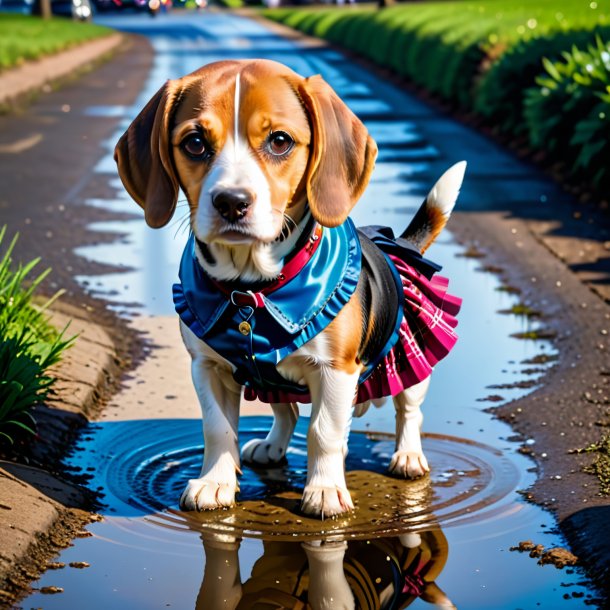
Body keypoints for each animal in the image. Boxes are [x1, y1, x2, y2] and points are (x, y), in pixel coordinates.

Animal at [115, 57, 466, 516]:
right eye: (194, 143)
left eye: (280, 141)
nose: (231, 202)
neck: (249, 287)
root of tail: (401, 243)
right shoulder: (207, 367)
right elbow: (217, 429)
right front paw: (215, 482)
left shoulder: (334, 371)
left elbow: (324, 431)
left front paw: (324, 490)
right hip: (272, 382)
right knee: (287, 415)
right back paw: (272, 447)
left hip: (411, 358)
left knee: (408, 410)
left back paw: (408, 456)